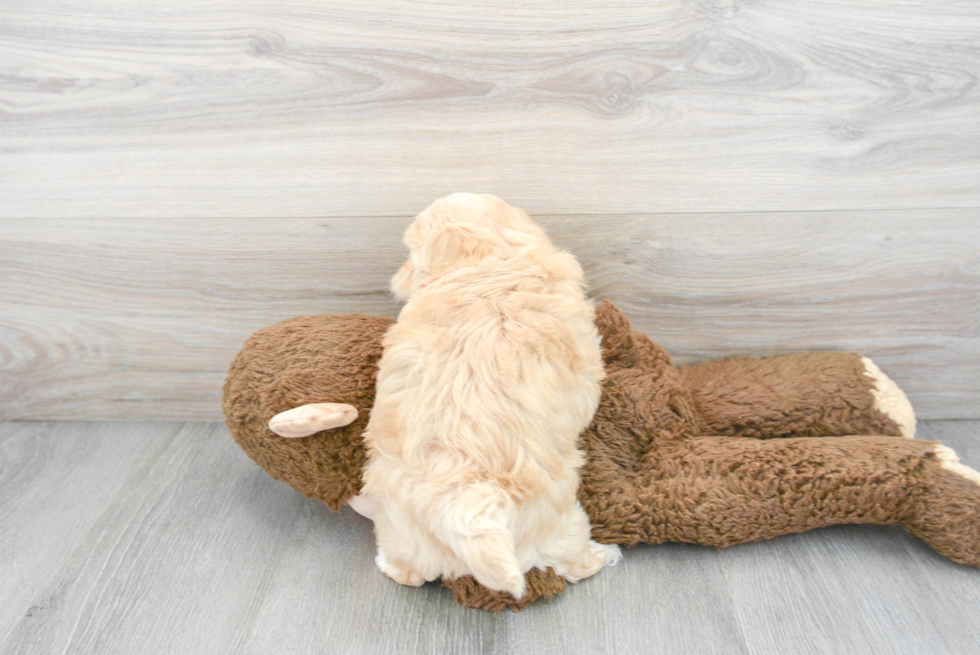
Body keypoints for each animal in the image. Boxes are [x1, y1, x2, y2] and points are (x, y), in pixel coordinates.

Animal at [360, 192, 620, 596]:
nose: (396, 279)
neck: (486, 259)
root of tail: (467, 501)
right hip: (559, 518)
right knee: (571, 560)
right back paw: (604, 554)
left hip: (401, 522)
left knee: (409, 569)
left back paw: (389, 563)